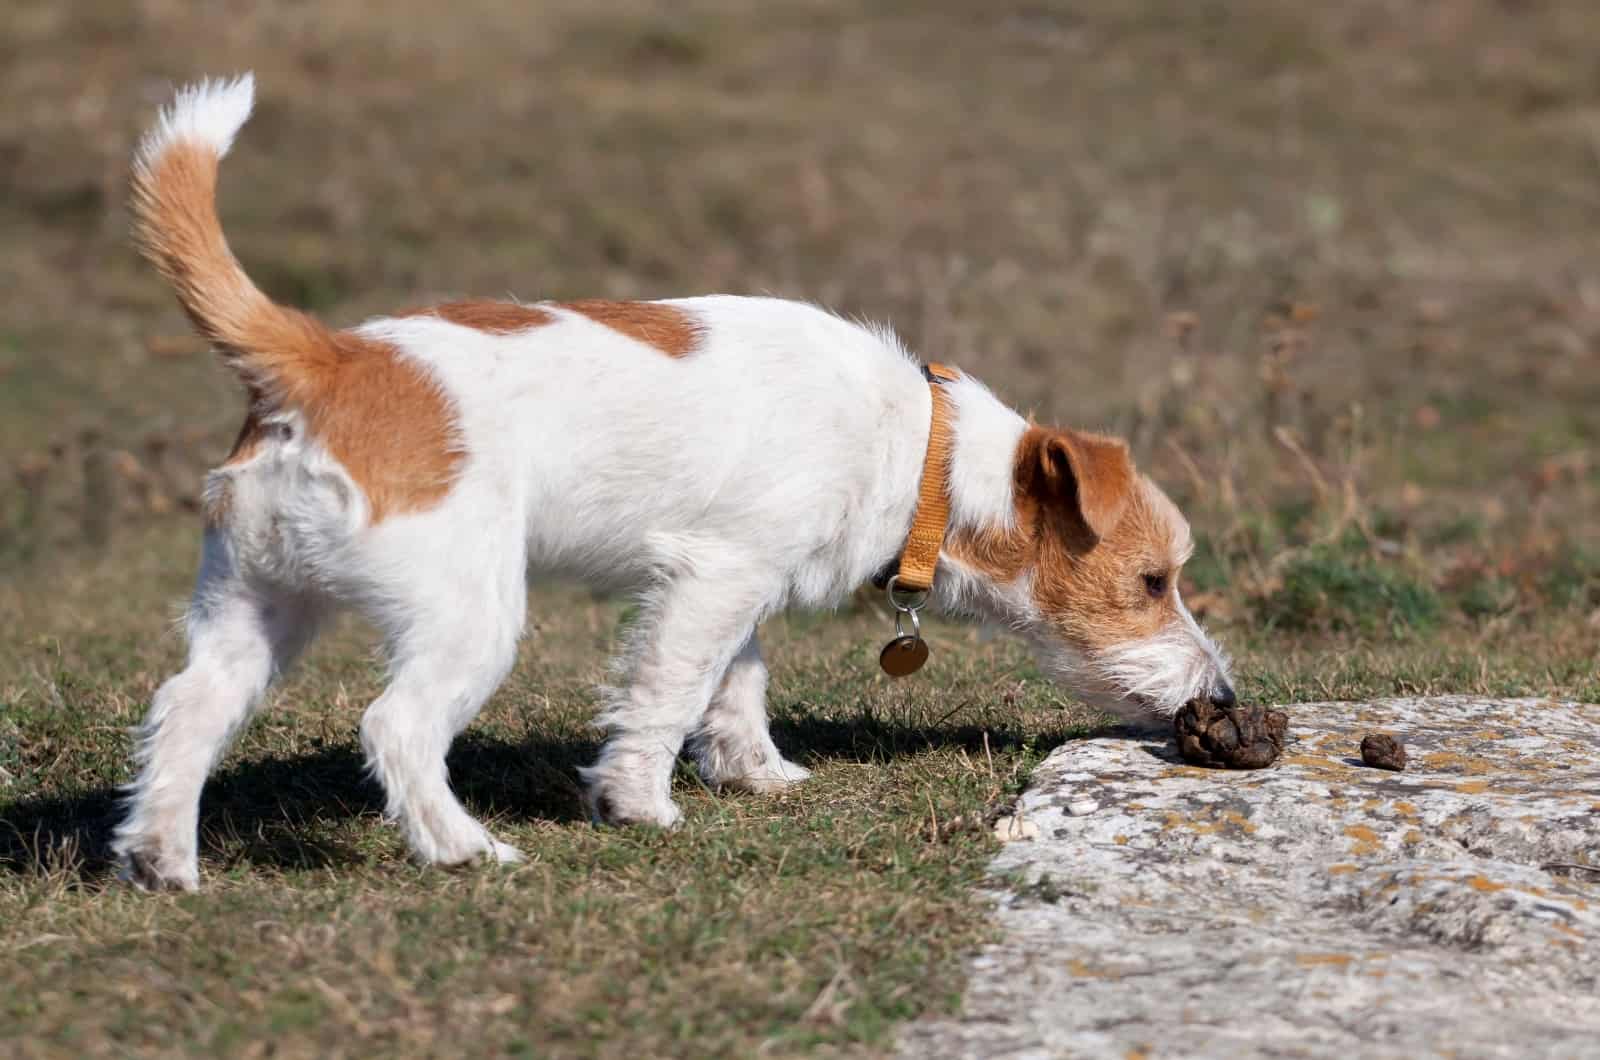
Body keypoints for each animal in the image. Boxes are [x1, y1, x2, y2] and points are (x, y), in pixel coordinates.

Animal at [116, 72, 1235, 890]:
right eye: (1151, 582)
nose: (1224, 695)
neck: (923, 450)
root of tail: (325, 358)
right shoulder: (715, 580)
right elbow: (667, 693)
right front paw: (640, 804)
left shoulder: (728, 583)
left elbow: (735, 685)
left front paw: (756, 772)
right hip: (468, 612)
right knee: (395, 728)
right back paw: (463, 848)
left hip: (258, 602)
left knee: (186, 708)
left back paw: (164, 860)